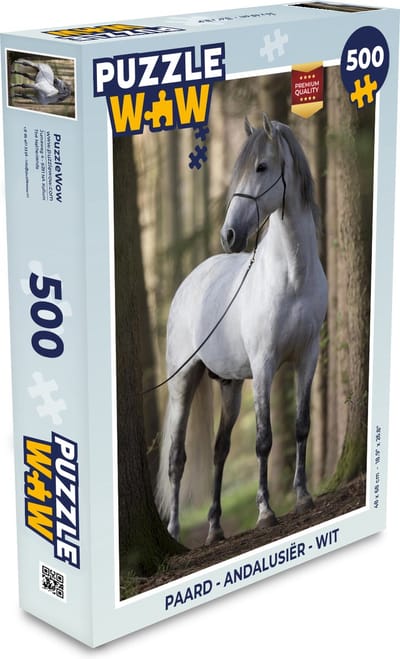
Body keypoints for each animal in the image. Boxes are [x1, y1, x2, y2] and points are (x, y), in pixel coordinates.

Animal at [156, 114, 328, 545]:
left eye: (262, 167)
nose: (229, 235)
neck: (292, 277)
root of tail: (189, 283)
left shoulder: (307, 358)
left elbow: (301, 426)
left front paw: (303, 497)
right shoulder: (264, 366)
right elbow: (264, 439)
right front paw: (266, 512)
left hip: (230, 385)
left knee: (220, 449)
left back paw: (215, 527)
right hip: (184, 382)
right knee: (177, 458)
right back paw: (175, 531)